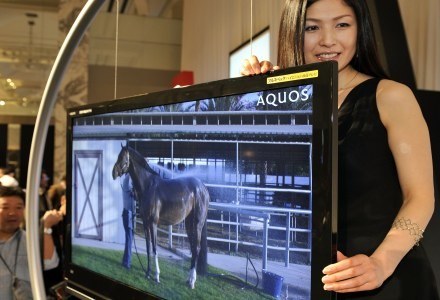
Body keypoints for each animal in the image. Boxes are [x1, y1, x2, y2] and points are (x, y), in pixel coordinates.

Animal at [112, 144, 211, 290]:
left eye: (123, 157)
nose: (114, 173)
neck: (148, 186)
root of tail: (203, 187)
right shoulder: (146, 223)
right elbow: (148, 248)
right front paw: (147, 273)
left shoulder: (153, 223)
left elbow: (154, 248)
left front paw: (157, 276)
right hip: (189, 224)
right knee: (193, 248)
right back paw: (188, 279)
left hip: (197, 224)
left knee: (197, 248)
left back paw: (192, 281)